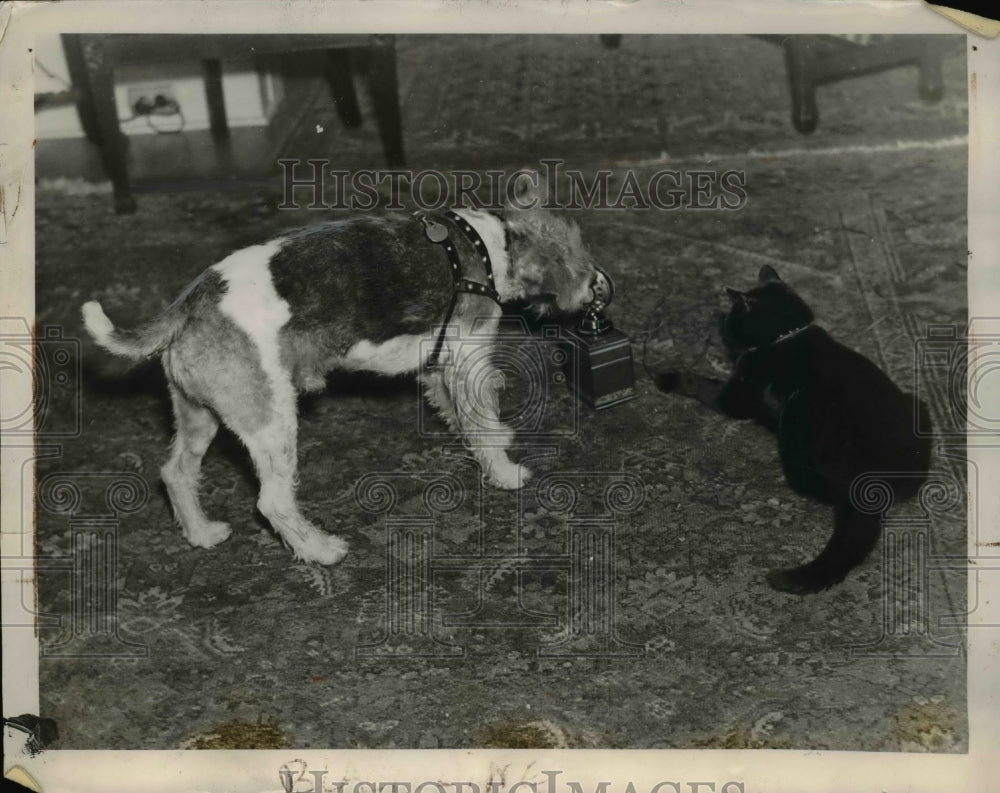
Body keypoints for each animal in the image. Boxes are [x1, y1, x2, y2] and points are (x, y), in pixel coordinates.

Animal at [82, 177, 608, 568]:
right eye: (578, 253)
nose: (598, 285)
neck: (488, 245)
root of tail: (189, 303)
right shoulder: (468, 355)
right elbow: (481, 422)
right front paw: (504, 471)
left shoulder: (439, 364)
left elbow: (468, 418)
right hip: (272, 423)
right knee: (272, 502)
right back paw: (320, 550)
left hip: (199, 414)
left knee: (175, 473)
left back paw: (202, 534)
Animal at [656, 266, 928, 592]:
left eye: (731, 316)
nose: (721, 325)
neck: (786, 336)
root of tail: (877, 484)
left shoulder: (732, 398)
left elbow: (696, 381)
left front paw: (664, 377)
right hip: (917, 406)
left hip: (796, 426)